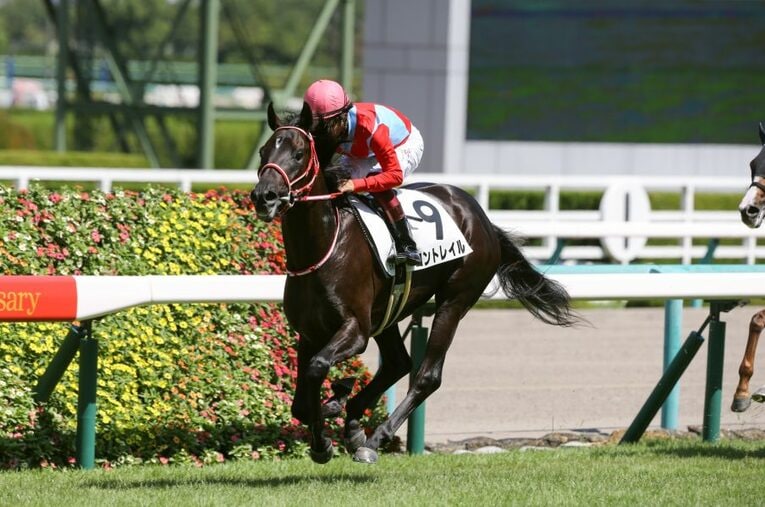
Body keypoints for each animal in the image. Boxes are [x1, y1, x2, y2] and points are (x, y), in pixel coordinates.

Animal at [250, 102, 579, 464]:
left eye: (298, 153)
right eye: (264, 151)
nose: (264, 196)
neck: (324, 245)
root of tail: (482, 218)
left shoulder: (355, 329)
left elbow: (317, 368)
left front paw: (324, 441)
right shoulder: (310, 332)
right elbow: (300, 403)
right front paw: (334, 407)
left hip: (454, 301)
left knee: (426, 375)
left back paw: (374, 438)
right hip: (388, 311)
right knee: (397, 363)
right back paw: (353, 422)